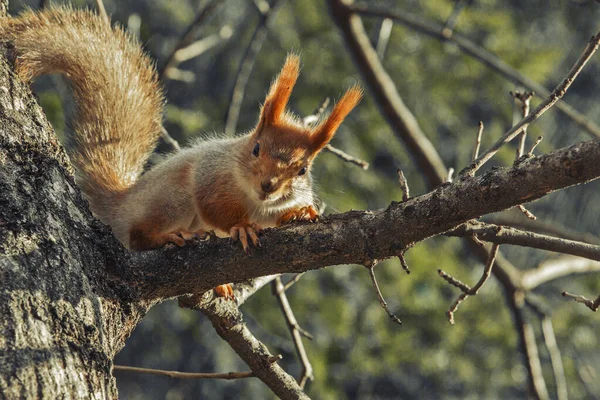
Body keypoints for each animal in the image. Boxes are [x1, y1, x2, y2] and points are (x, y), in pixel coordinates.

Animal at [2, 6, 360, 298]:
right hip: (172, 200)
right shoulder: (210, 174)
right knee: (138, 237)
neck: (254, 201)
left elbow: (281, 217)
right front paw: (240, 226)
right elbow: (215, 208)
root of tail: (123, 203)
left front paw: (300, 213)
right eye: (256, 148)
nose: (268, 186)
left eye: (303, 169)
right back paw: (167, 238)